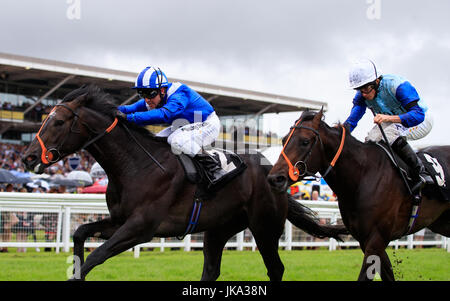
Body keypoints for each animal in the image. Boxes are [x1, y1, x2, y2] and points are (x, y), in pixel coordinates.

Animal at [21, 85, 346, 280]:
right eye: (44, 118)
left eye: (58, 122)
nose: (27, 157)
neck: (134, 165)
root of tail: (274, 173)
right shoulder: (120, 220)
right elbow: (79, 233)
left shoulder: (141, 227)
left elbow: (97, 256)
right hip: (219, 228)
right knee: (211, 270)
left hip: (264, 227)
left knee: (275, 268)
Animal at [268, 109, 450, 280]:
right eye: (284, 140)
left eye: (305, 142)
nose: (275, 178)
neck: (363, 175)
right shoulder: (366, 240)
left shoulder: (376, 239)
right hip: (440, 223)